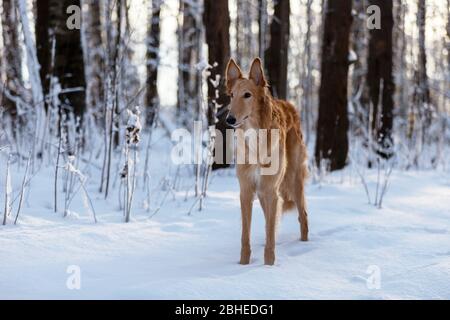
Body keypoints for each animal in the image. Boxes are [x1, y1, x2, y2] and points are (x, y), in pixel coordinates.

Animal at [225, 57, 310, 264]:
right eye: (231, 95)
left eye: (247, 95)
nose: (229, 119)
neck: (256, 137)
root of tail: (289, 105)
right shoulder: (246, 191)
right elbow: (246, 235)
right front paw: (243, 264)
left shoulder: (271, 191)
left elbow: (270, 233)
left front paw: (268, 266)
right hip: (264, 192)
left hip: (293, 180)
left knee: (303, 216)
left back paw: (304, 245)